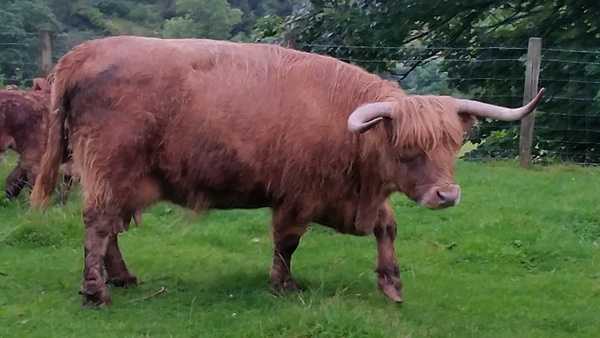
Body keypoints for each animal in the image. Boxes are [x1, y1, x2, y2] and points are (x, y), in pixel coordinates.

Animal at [31, 37, 544, 306]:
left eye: (451, 144)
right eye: (408, 149)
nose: (447, 195)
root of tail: (83, 53)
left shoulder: (349, 198)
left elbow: (386, 226)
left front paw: (391, 282)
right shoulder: (299, 194)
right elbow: (287, 241)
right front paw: (284, 284)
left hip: (121, 177)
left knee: (111, 225)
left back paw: (120, 277)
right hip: (109, 164)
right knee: (98, 223)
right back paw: (96, 290)